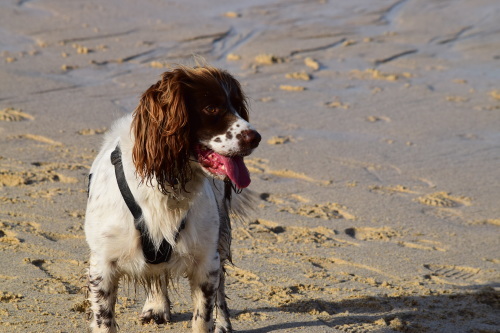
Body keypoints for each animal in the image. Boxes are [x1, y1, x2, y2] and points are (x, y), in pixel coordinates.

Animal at [83, 63, 260, 330]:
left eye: (238, 108)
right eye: (211, 108)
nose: (256, 138)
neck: (167, 186)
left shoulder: (205, 261)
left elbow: (203, 317)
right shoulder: (103, 264)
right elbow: (104, 320)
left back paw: (222, 324)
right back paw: (156, 305)